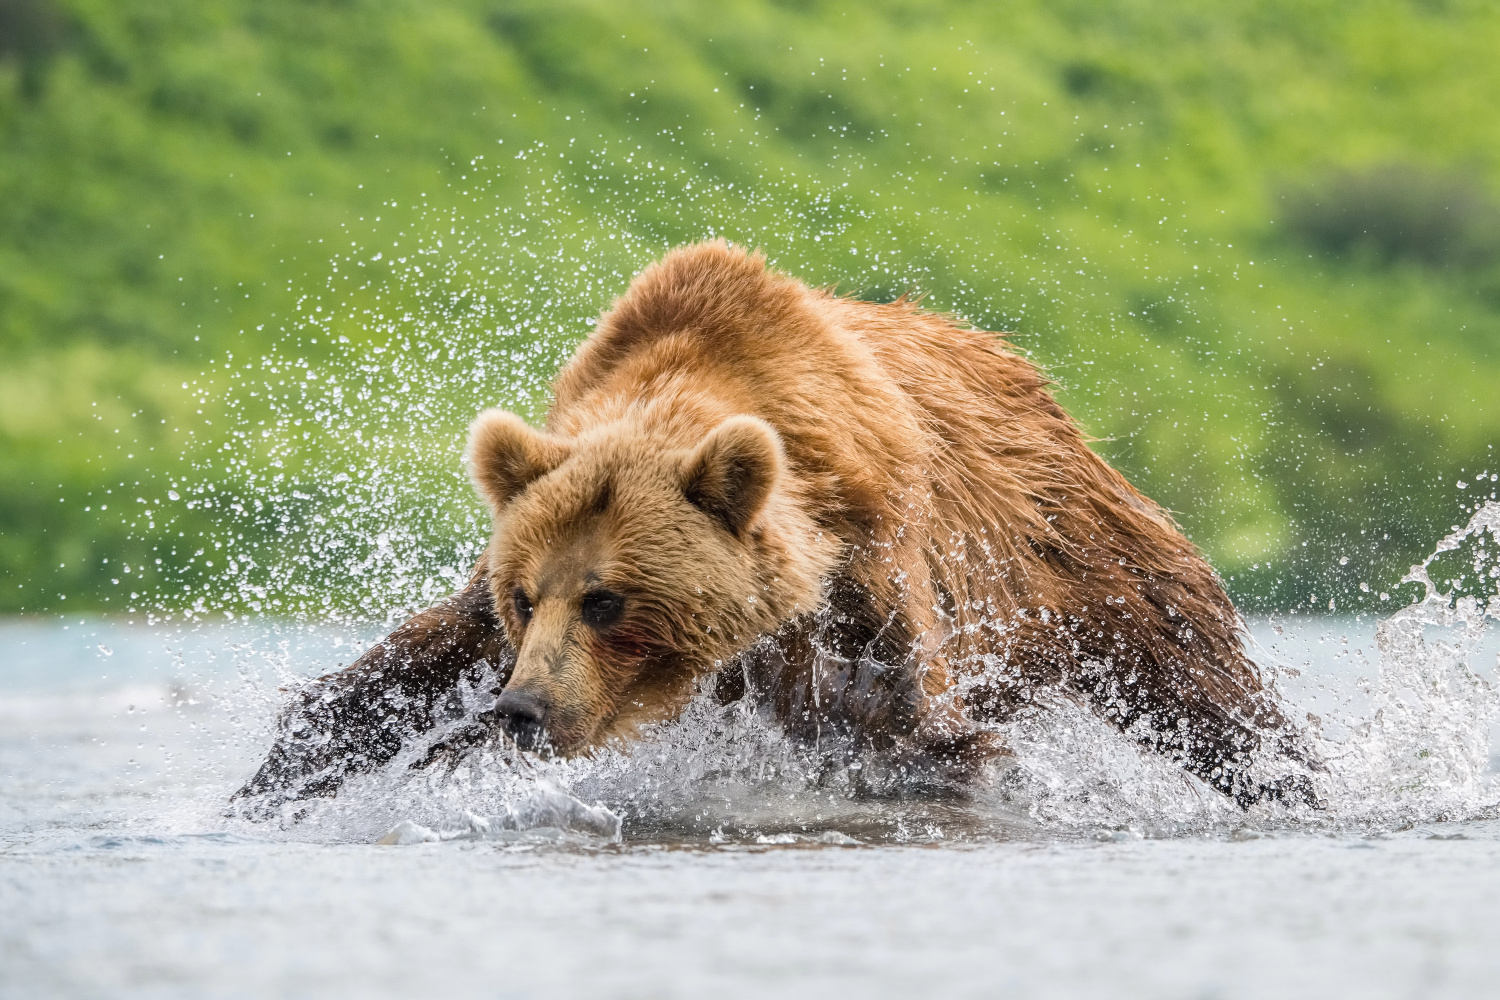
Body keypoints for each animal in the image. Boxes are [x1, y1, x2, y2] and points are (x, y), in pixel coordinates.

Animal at [231, 242, 1314, 821]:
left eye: (607, 600)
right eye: (524, 598)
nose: (525, 710)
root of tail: (1023, 371)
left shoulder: (872, 565)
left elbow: (903, 726)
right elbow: (397, 673)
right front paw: (269, 784)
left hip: (1074, 546)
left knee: (1200, 678)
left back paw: (1294, 783)